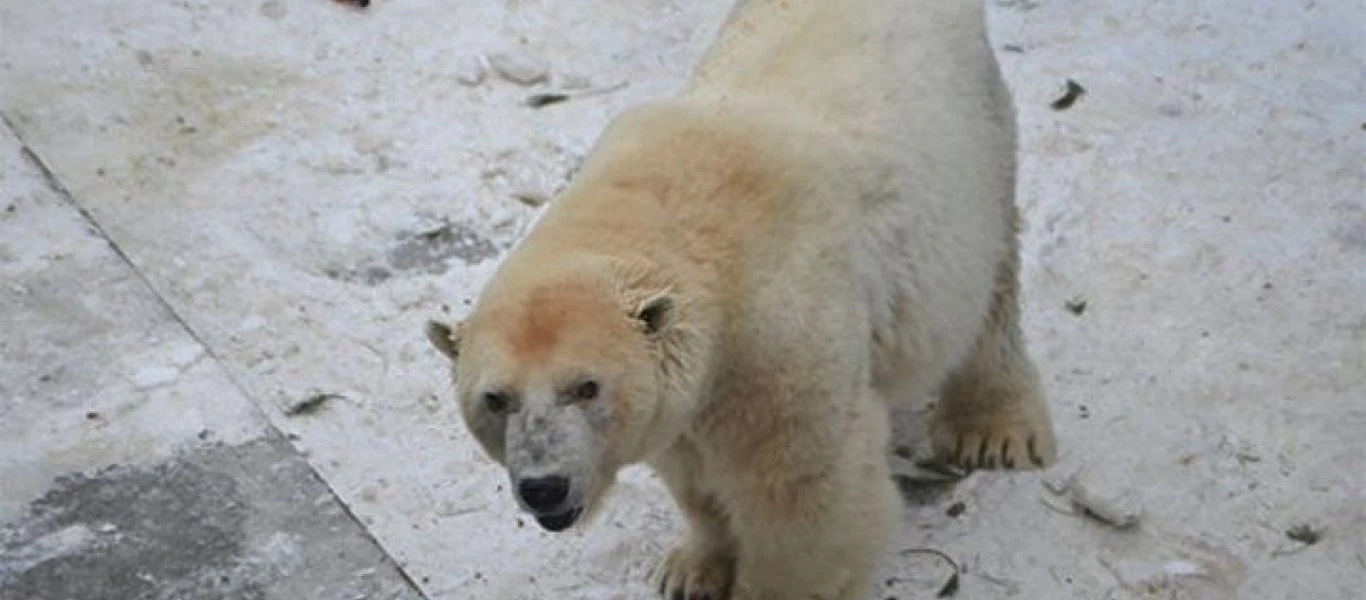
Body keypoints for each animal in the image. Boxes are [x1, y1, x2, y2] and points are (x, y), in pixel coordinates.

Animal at [426, 1, 1054, 600]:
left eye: (586, 386)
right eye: (495, 398)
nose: (544, 487)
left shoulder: (779, 341)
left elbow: (802, 495)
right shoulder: (692, 391)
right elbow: (694, 474)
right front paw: (690, 569)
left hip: (973, 157)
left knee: (988, 297)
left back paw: (992, 432)